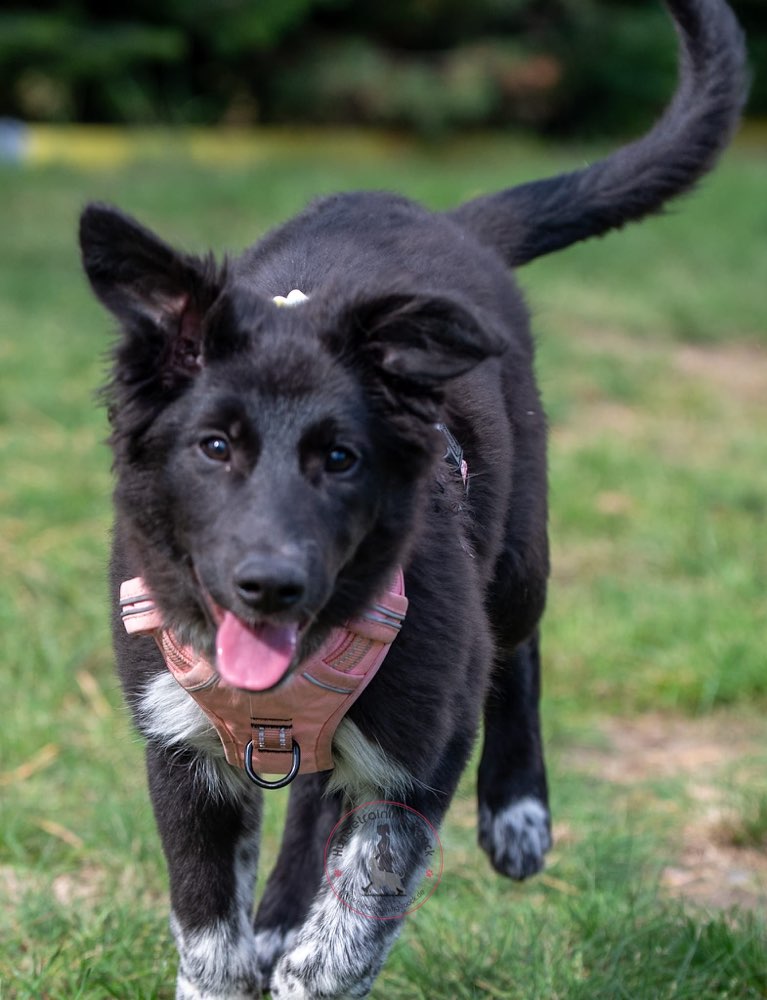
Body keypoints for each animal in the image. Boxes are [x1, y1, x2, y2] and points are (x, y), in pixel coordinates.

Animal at [81, 3, 748, 996]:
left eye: (341, 458)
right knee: (313, 791)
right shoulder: (180, 743)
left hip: (513, 562)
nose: (268, 586)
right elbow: (210, 935)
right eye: (214, 447)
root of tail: (452, 222)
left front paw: (308, 956)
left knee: (515, 649)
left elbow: (349, 924)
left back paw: (516, 814)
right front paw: (250, 946)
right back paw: (279, 913)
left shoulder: (421, 747)